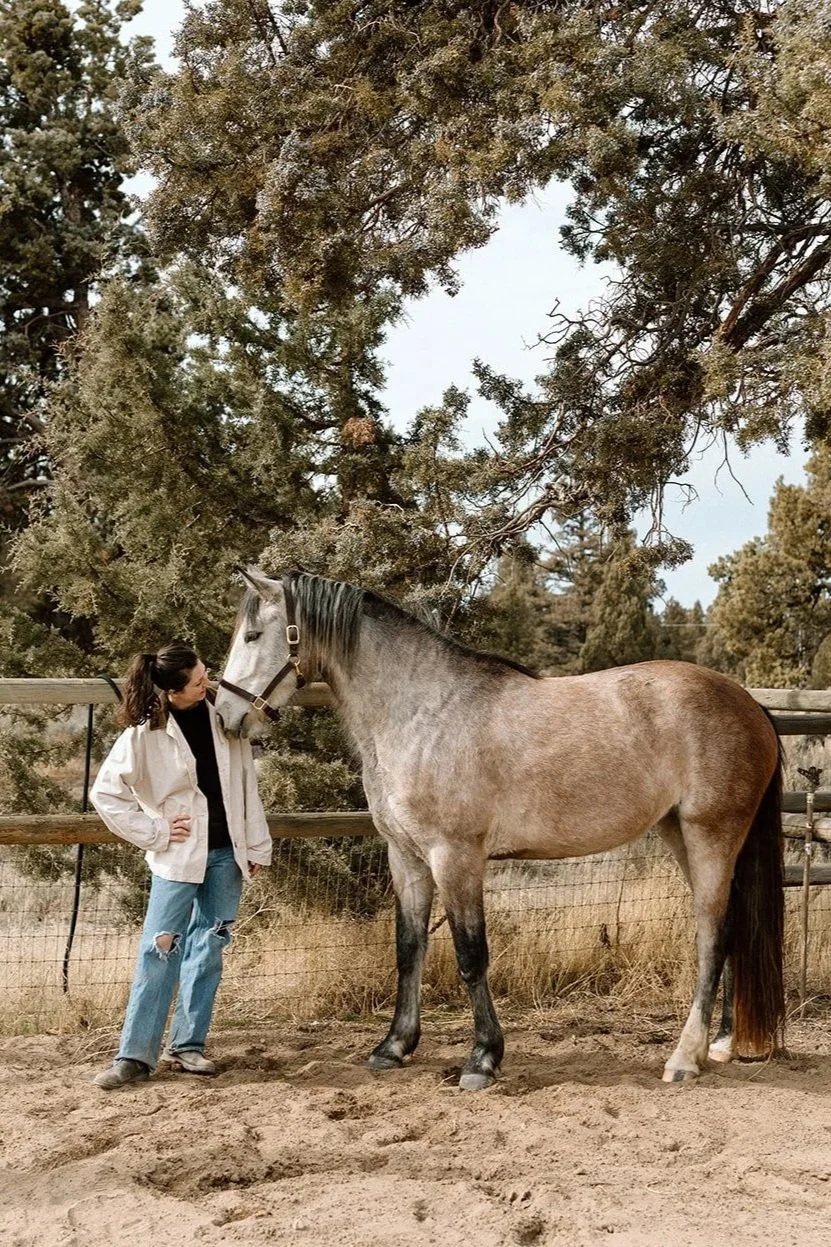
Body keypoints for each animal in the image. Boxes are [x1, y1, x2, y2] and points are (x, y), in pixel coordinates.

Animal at [215, 567, 785, 1090]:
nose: (223, 716)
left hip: (710, 834)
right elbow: (408, 949)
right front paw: (394, 1047)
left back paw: (684, 1057)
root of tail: (750, 704)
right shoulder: (407, 857)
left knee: (712, 935)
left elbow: (471, 956)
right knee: (731, 929)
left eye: (253, 635)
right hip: (680, 834)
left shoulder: (456, 857)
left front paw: (482, 1060)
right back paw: (722, 1043)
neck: (423, 713)